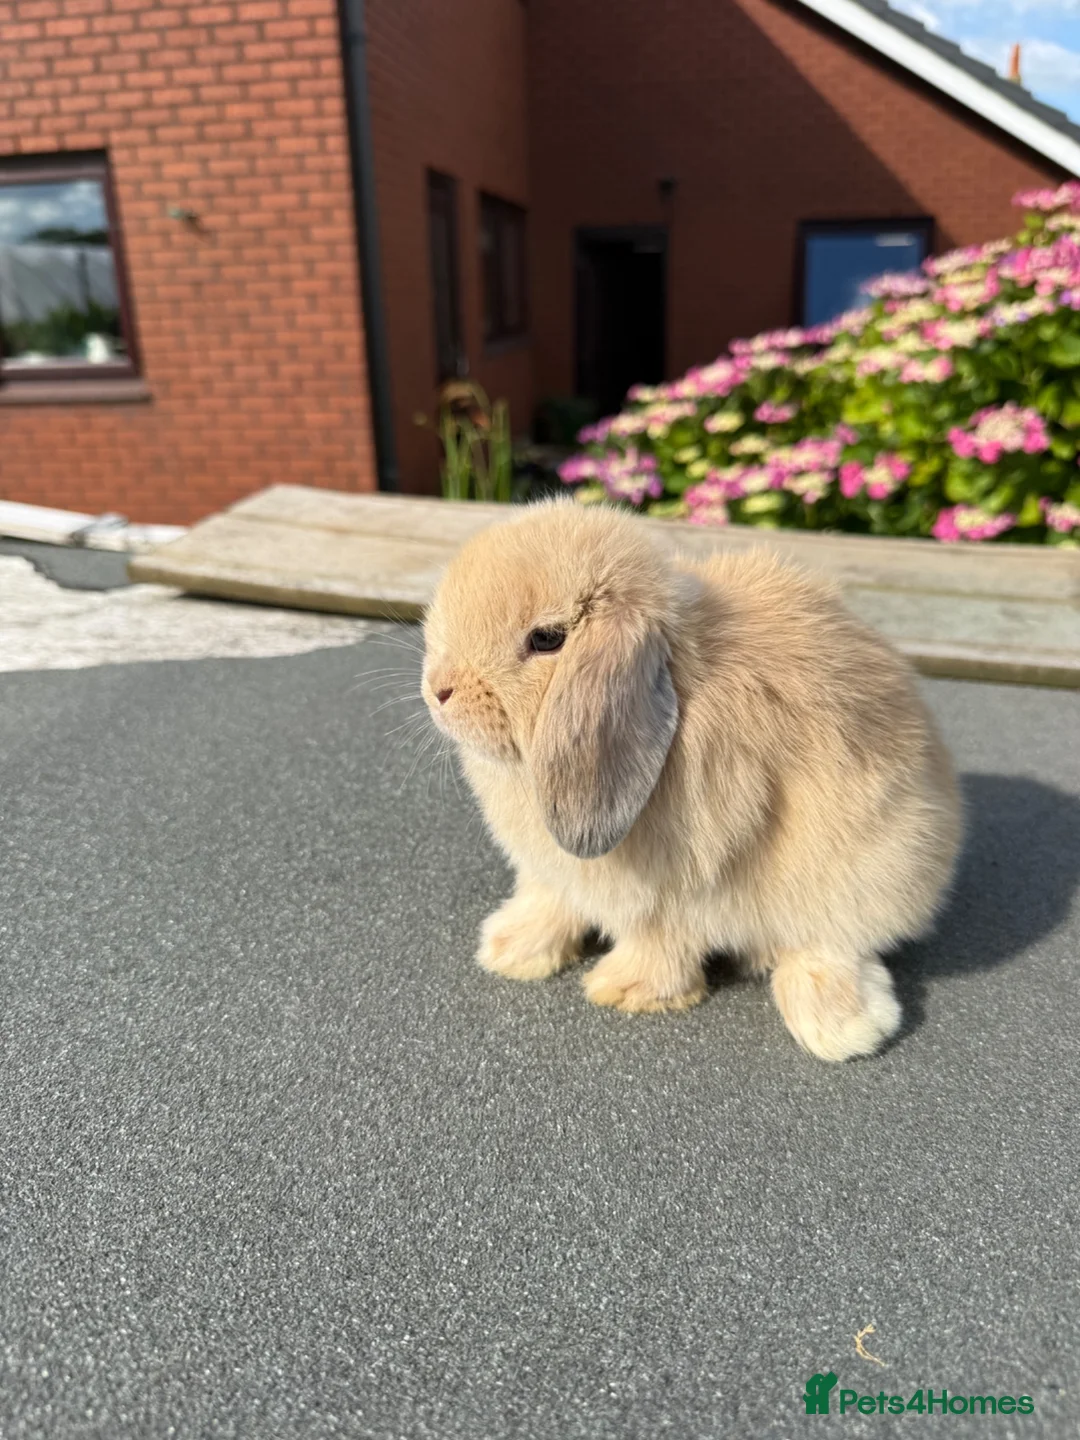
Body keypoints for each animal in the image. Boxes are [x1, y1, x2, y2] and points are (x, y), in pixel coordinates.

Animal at [421, 500, 962, 1061]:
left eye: (546, 639)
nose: (438, 690)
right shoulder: (554, 877)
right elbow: (550, 904)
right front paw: (508, 950)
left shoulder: (679, 889)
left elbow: (661, 941)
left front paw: (624, 990)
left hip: (871, 869)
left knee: (835, 946)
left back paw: (841, 1027)